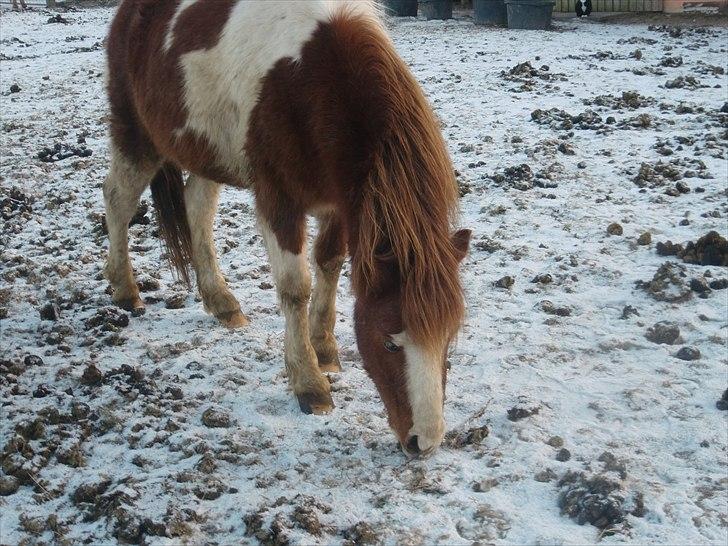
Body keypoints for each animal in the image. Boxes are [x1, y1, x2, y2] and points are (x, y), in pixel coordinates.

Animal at [105, 0, 472, 454]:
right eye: (390, 341)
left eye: (448, 337)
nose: (425, 442)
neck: (312, 81)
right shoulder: (279, 202)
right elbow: (296, 287)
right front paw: (309, 384)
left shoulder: (338, 203)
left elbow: (330, 264)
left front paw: (325, 348)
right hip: (136, 136)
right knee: (118, 202)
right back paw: (125, 291)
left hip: (207, 153)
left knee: (197, 208)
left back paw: (221, 302)